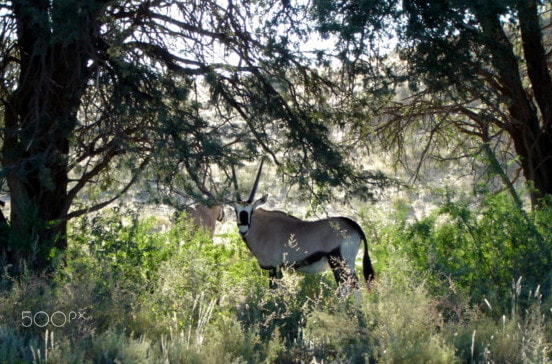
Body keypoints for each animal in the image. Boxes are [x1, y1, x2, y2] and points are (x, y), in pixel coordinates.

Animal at [229, 159, 376, 290]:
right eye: (236, 211)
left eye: (251, 211)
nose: (243, 229)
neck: (263, 229)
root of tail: (353, 225)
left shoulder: (275, 267)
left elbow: (275, 291)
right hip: (348, 264)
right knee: (355, 286)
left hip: (339, 263)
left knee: (347, 287)